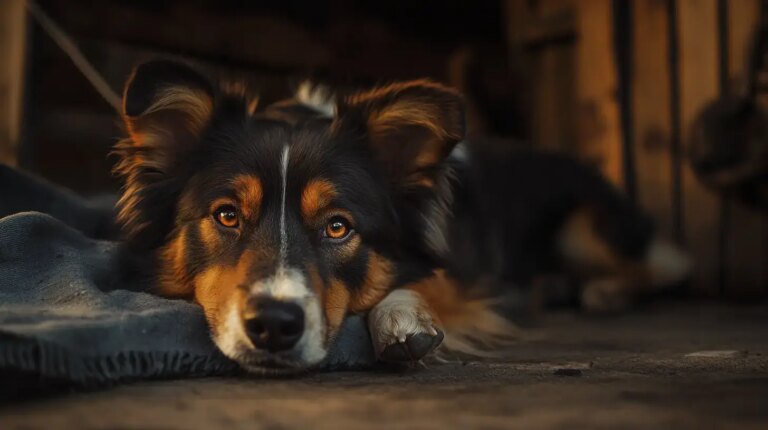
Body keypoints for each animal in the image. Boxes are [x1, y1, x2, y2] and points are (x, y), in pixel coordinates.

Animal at [112, 59, 688, 372]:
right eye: (227, 216)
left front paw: (402, 317)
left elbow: (422, 282)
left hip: (583, 226)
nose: (274, 326)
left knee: (668, 266)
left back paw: (604, 290)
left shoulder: (460, 275)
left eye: (338, 226)